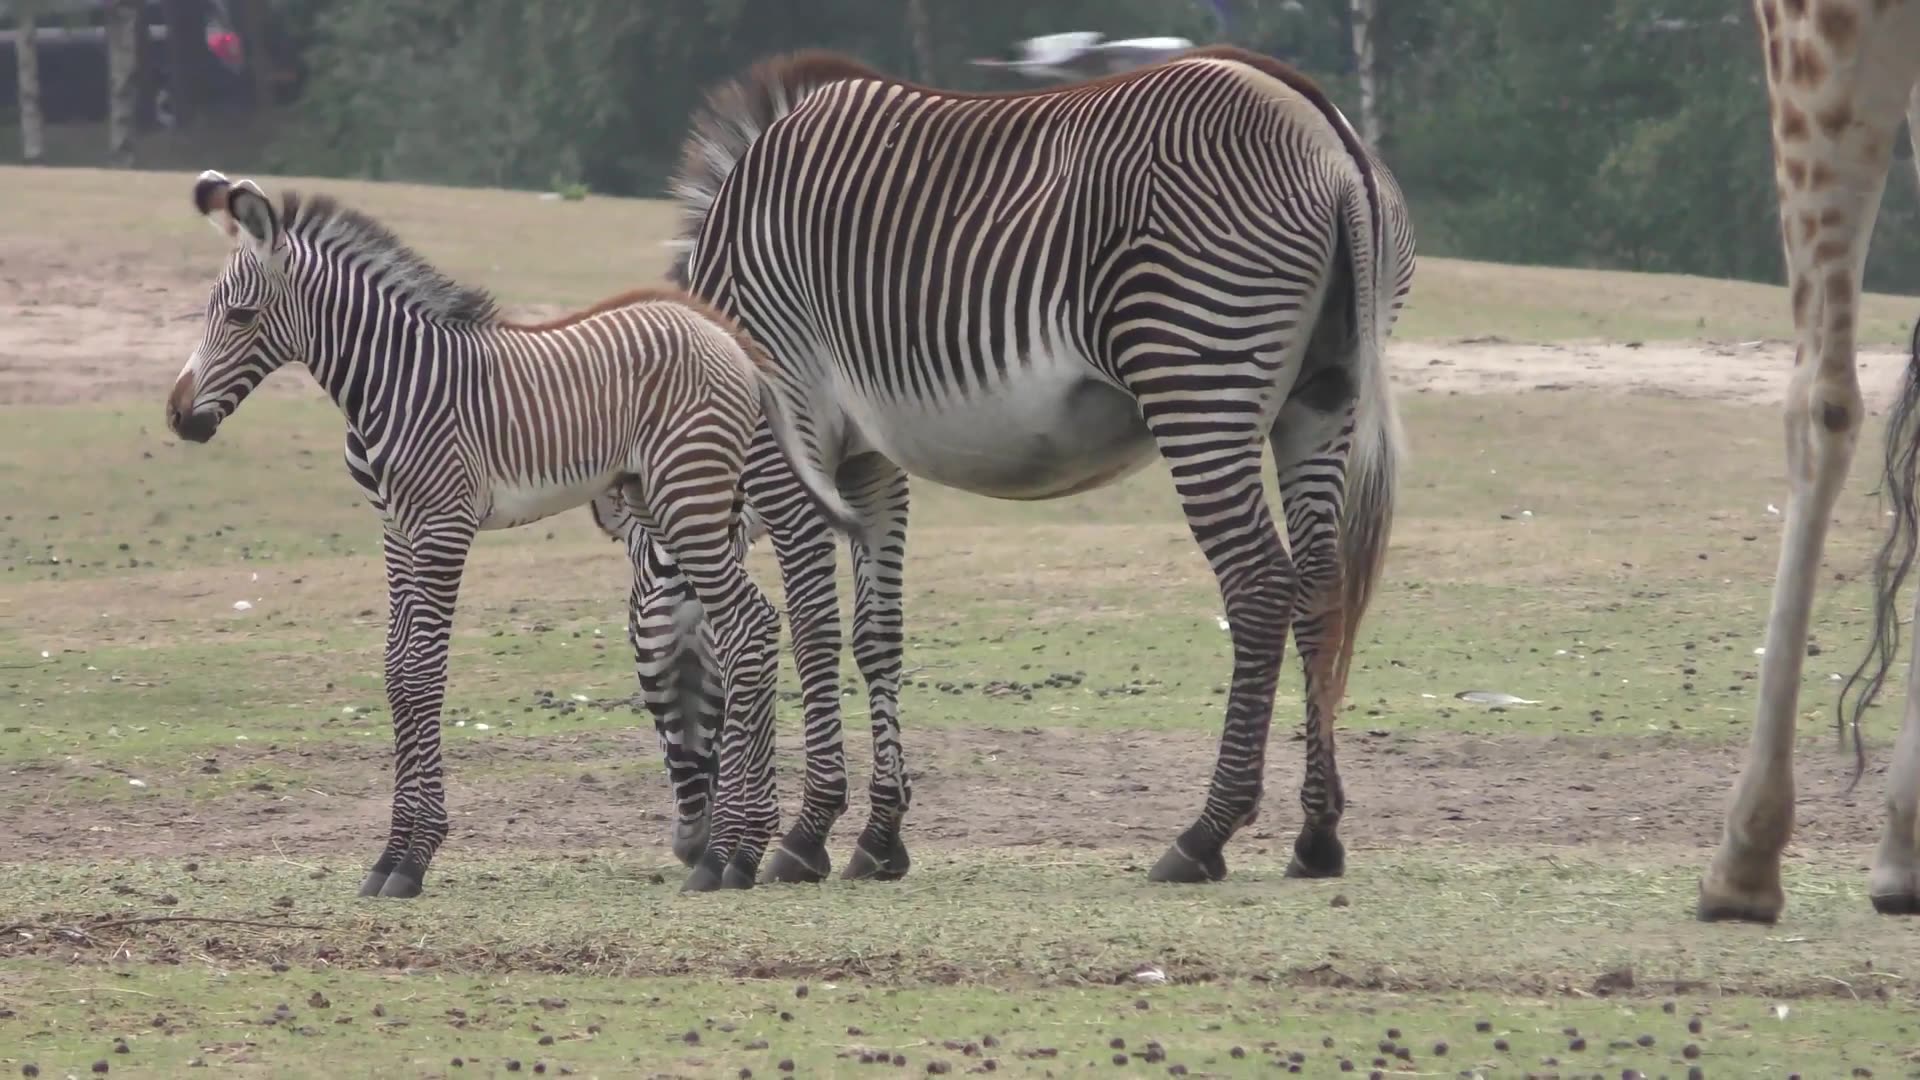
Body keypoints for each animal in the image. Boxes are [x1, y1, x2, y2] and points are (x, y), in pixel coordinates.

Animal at [168, 170, 860, 891]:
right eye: (209, 311)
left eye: (240, 316)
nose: (179, 417)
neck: (396, 380)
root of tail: (730, 340)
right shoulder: (396, 530)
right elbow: (397, 672)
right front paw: (389, 855)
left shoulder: (442, 525)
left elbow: (423, 672)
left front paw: (412, 858)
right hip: (671, 498)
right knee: (749, 624)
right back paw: (741, 845)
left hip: (687, 494)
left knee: (748, 627)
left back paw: (729, 855)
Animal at [633, 46, 1413, 887]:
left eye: (647, 670)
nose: (684, 845)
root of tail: (1323, 127)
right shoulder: (873, 463)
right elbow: (877, 635)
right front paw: (878, 838)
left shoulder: (790, 440)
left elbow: (810, 628)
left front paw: (801, 838)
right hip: (1322, 397)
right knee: (1321, 590)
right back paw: (1316, 837)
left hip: (1200, 378)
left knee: (1261, 586)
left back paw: (1203, 836)